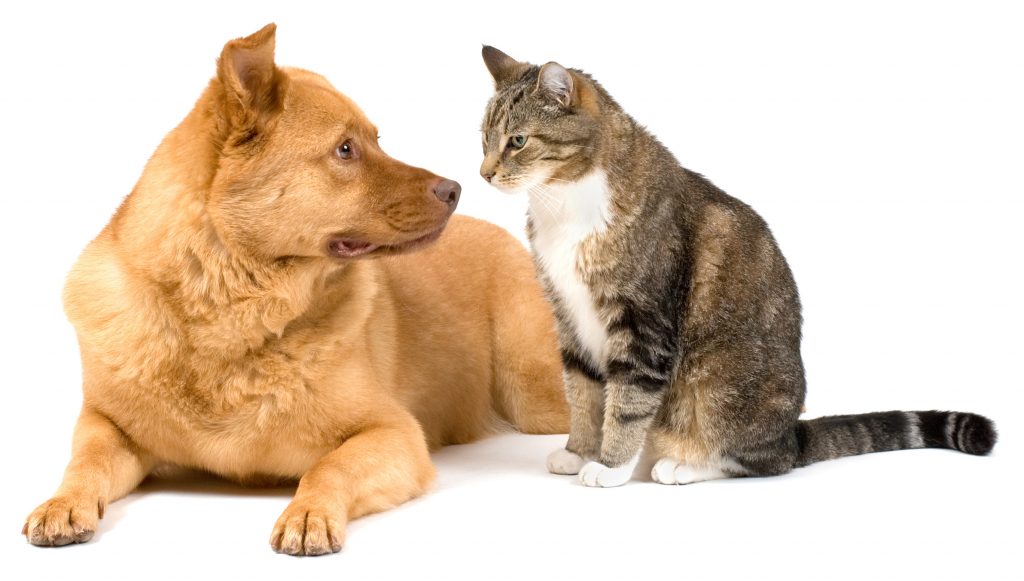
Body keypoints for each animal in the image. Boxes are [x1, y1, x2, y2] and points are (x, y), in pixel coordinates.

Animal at [24, 24, 569, 557]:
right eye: (345, 148)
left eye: (376, 139)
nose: (456, 189)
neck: (227, 316)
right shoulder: (104, 423)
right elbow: (85, 461)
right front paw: (62, 503)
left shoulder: (393, 432)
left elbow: (329, 466)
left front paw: (309, 513)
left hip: (532, 393)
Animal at [479, 47, 999, 489]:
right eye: (483, 139)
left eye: (518, 141)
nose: (484, 173)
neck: (565, 203)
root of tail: (792, 432)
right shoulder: (568, 315)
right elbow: (583, 393)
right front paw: (578, 451)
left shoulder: (643, 321)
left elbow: (627, 401)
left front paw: (609, 465)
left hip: (720, 386)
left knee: (761, 460)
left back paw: (681, 465)